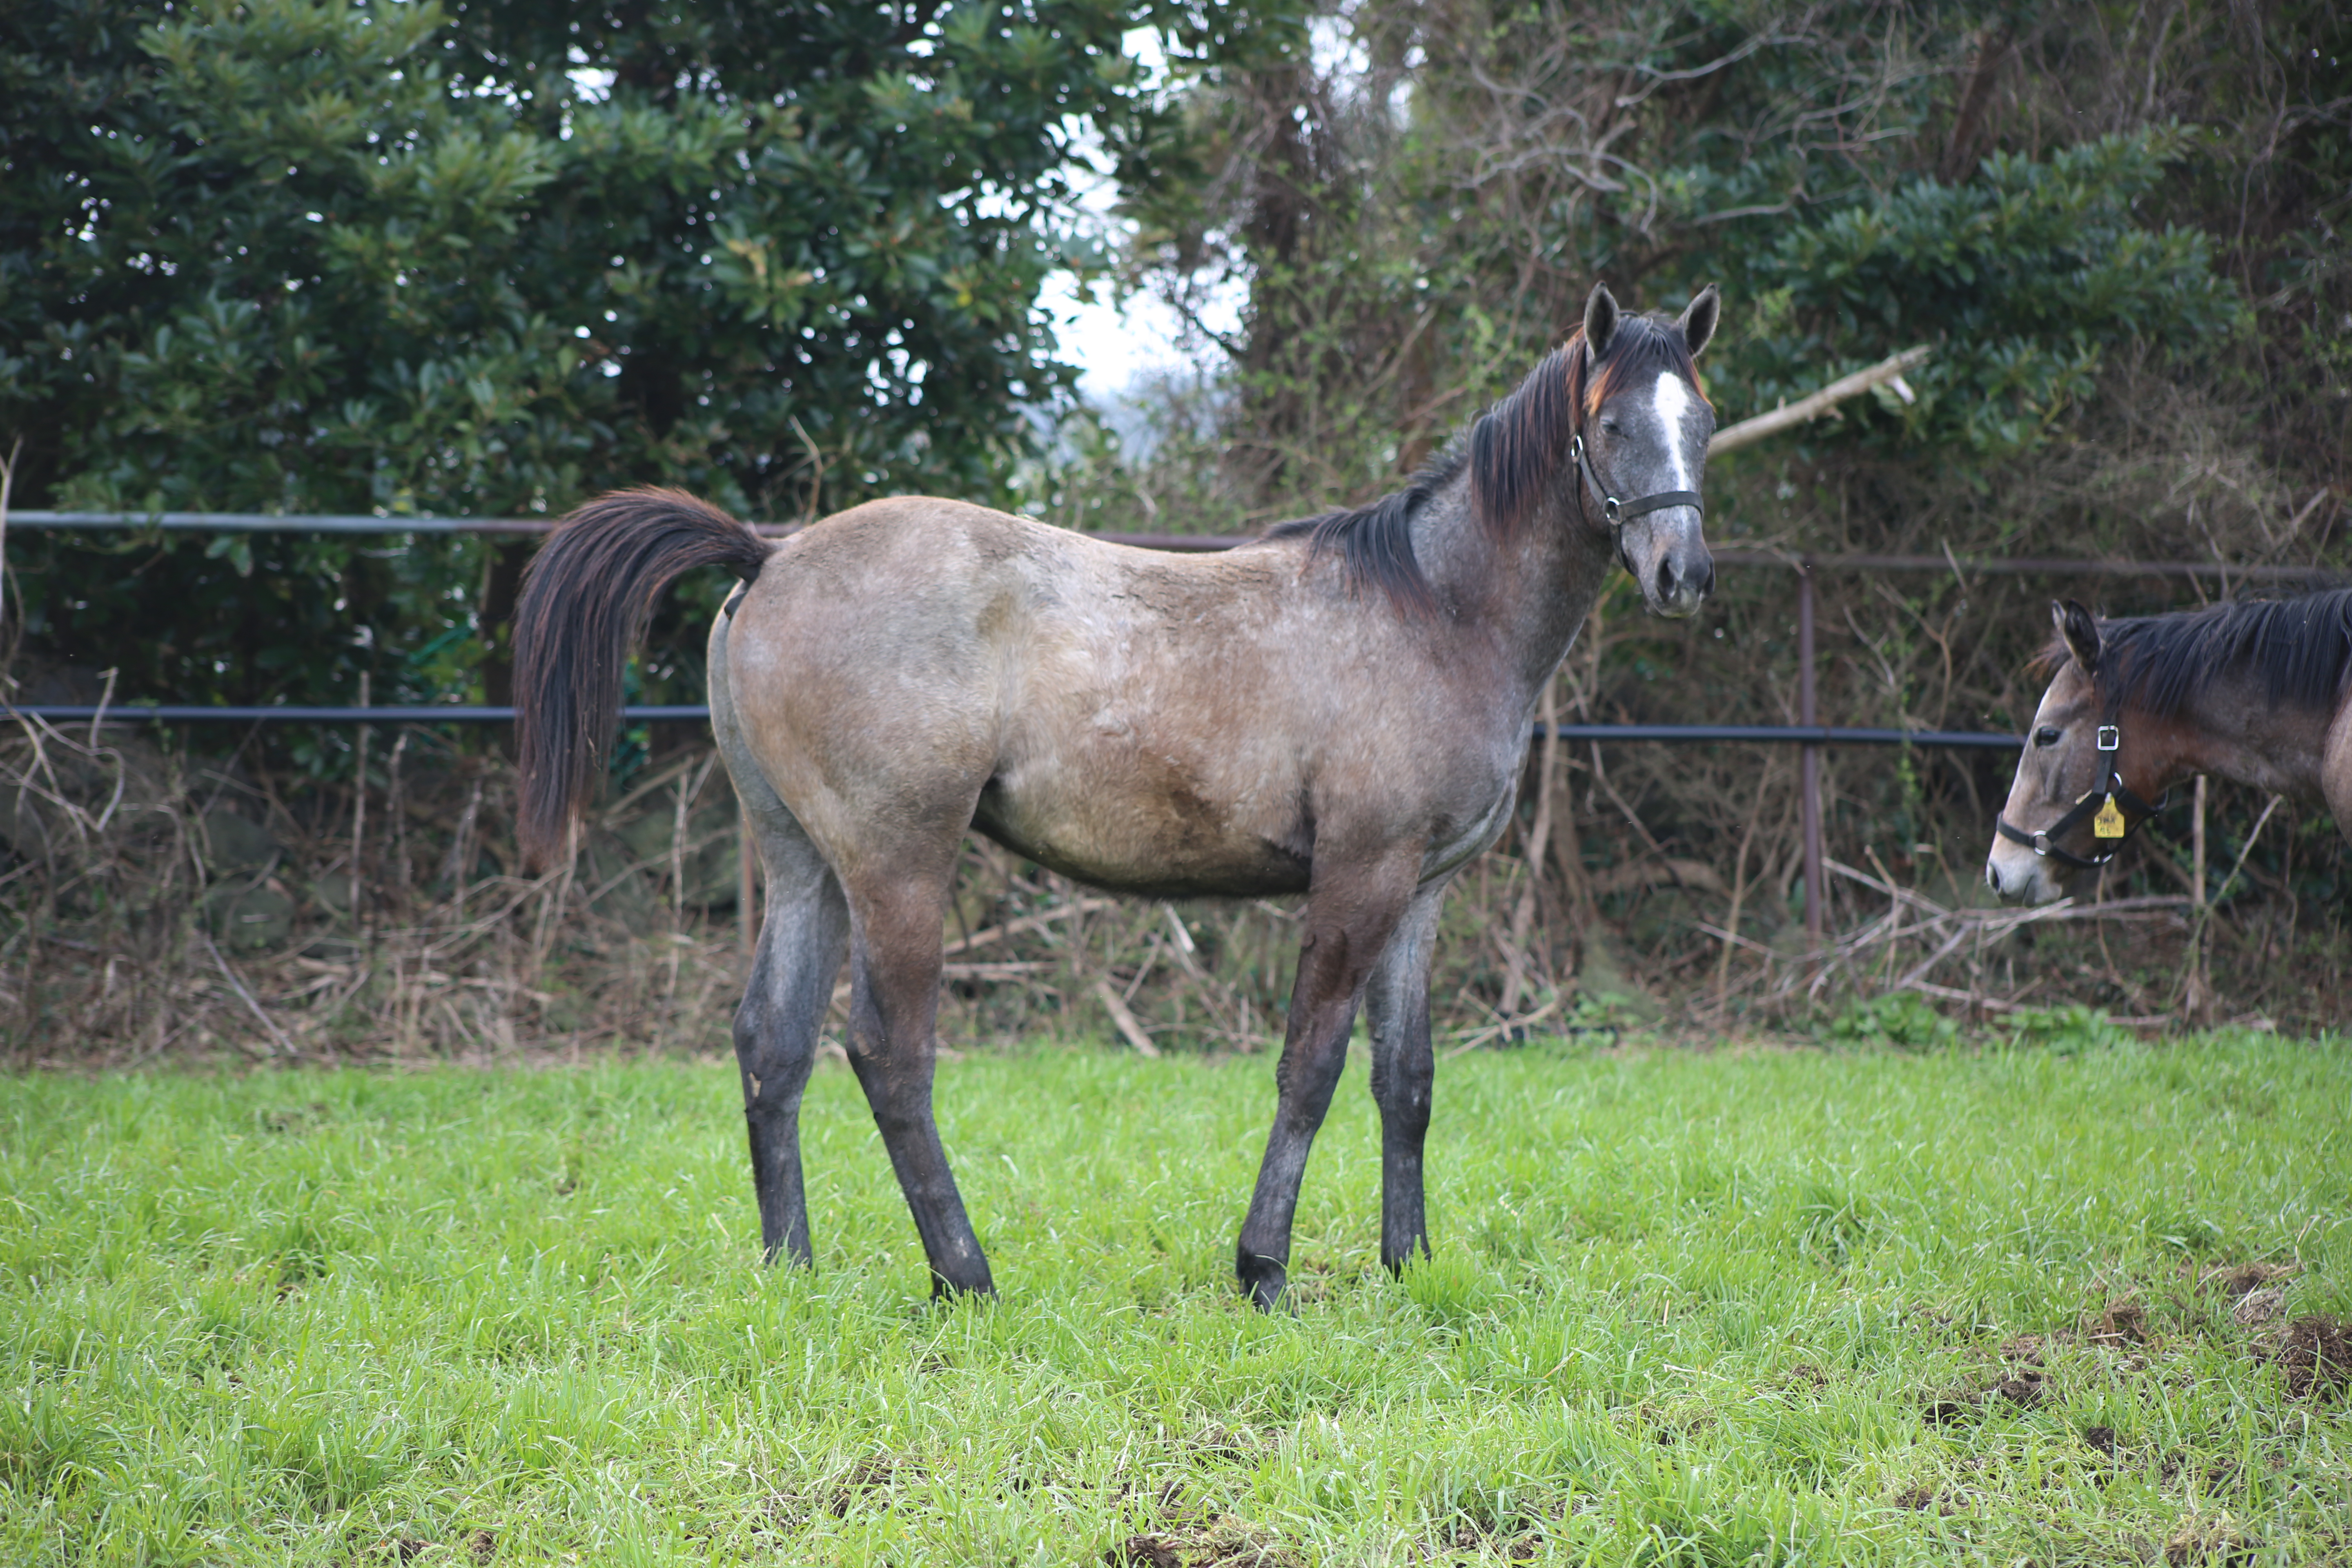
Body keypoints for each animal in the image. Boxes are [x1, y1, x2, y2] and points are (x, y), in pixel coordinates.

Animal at [519, 278, 1731, 1297]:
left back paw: (794, 1272)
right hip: (898, 863)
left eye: (1704, 421)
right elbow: (1311, 1067)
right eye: (1610, 423)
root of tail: (767, 556)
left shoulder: (1423, 890)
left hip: (803, 861)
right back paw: (965, 1277)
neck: (1433, 611)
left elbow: (1409, 1078)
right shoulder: (1360, 877)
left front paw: (1409, 1264)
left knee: (771, 1046)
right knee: (887, 1054)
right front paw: (1262, 1270)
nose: (1683, 574)